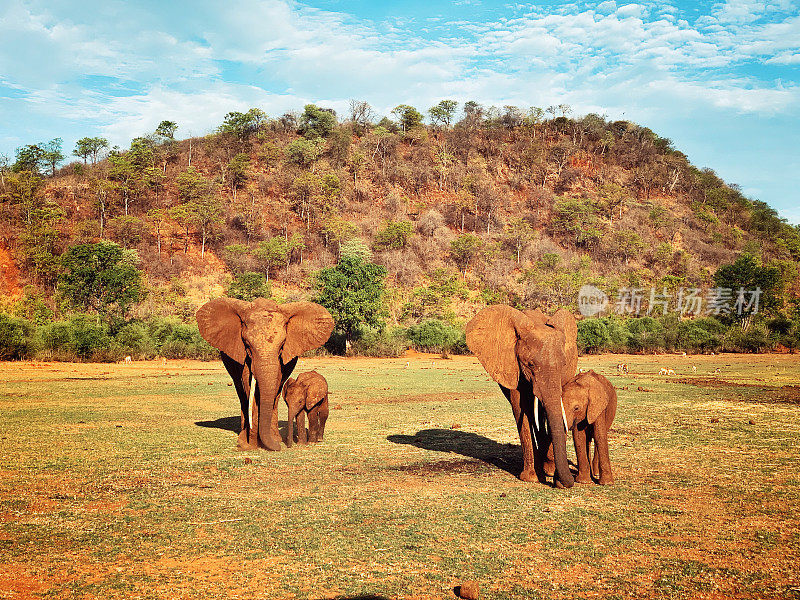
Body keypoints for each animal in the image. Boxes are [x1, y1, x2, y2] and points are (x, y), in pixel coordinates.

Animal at [198, 296, 334, 450]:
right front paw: (249, 444)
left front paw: (268, 441)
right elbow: (248, 386)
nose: (280, 446)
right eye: (247, 345)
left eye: (282, 346)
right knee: (241, 392)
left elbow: (275, 385)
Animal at [466, 304, 580, 488]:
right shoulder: (513, 367)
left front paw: (550, 473)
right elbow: (520, 408)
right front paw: (532, 478)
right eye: (530, 365)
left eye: (564, 364)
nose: (567, 482)